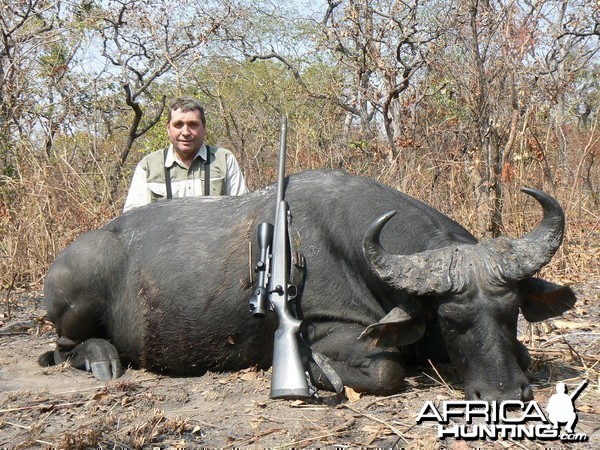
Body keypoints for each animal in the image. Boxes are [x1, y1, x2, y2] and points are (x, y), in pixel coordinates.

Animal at [39, 170, 576, 400]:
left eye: (511, 314)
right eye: (451, 320)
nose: (505, 395)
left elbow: (524, 353)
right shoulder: (331, 330)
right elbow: (388, 371)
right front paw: (319, 373)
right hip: (80, 292)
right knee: (63, 347)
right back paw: (102, 359)